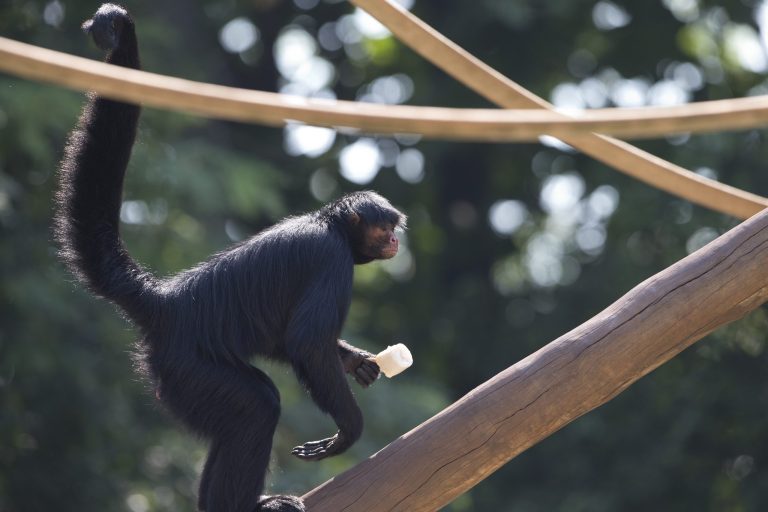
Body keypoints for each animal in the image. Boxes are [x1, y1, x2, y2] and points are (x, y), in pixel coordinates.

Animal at [53, 5, 406, 512]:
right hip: (187, 367)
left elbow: (285, 340)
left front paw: (358, 361)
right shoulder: (330, 259)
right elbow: (304, 342)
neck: (328, 223)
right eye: (385, 229)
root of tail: (166, 301)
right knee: (258, 407)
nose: (395, 241)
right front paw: (348, 431)